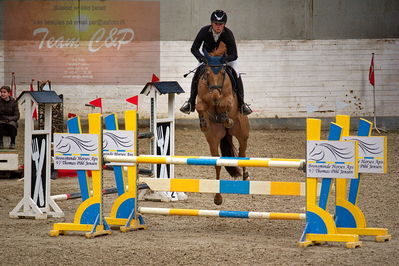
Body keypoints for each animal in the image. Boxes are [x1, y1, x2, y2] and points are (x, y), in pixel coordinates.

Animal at [195, 43, 248, 206]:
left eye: (223, 72)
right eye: (207, 72)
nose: (215, 95)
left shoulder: (229, 99)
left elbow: (226, 103)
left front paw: (225, 116)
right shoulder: (201, 99)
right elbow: (200, 106)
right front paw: (204, 122)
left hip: (242, 133)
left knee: (242, 153)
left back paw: (246, 176)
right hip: (213, 139)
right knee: (217, 163)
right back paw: (217, 198)